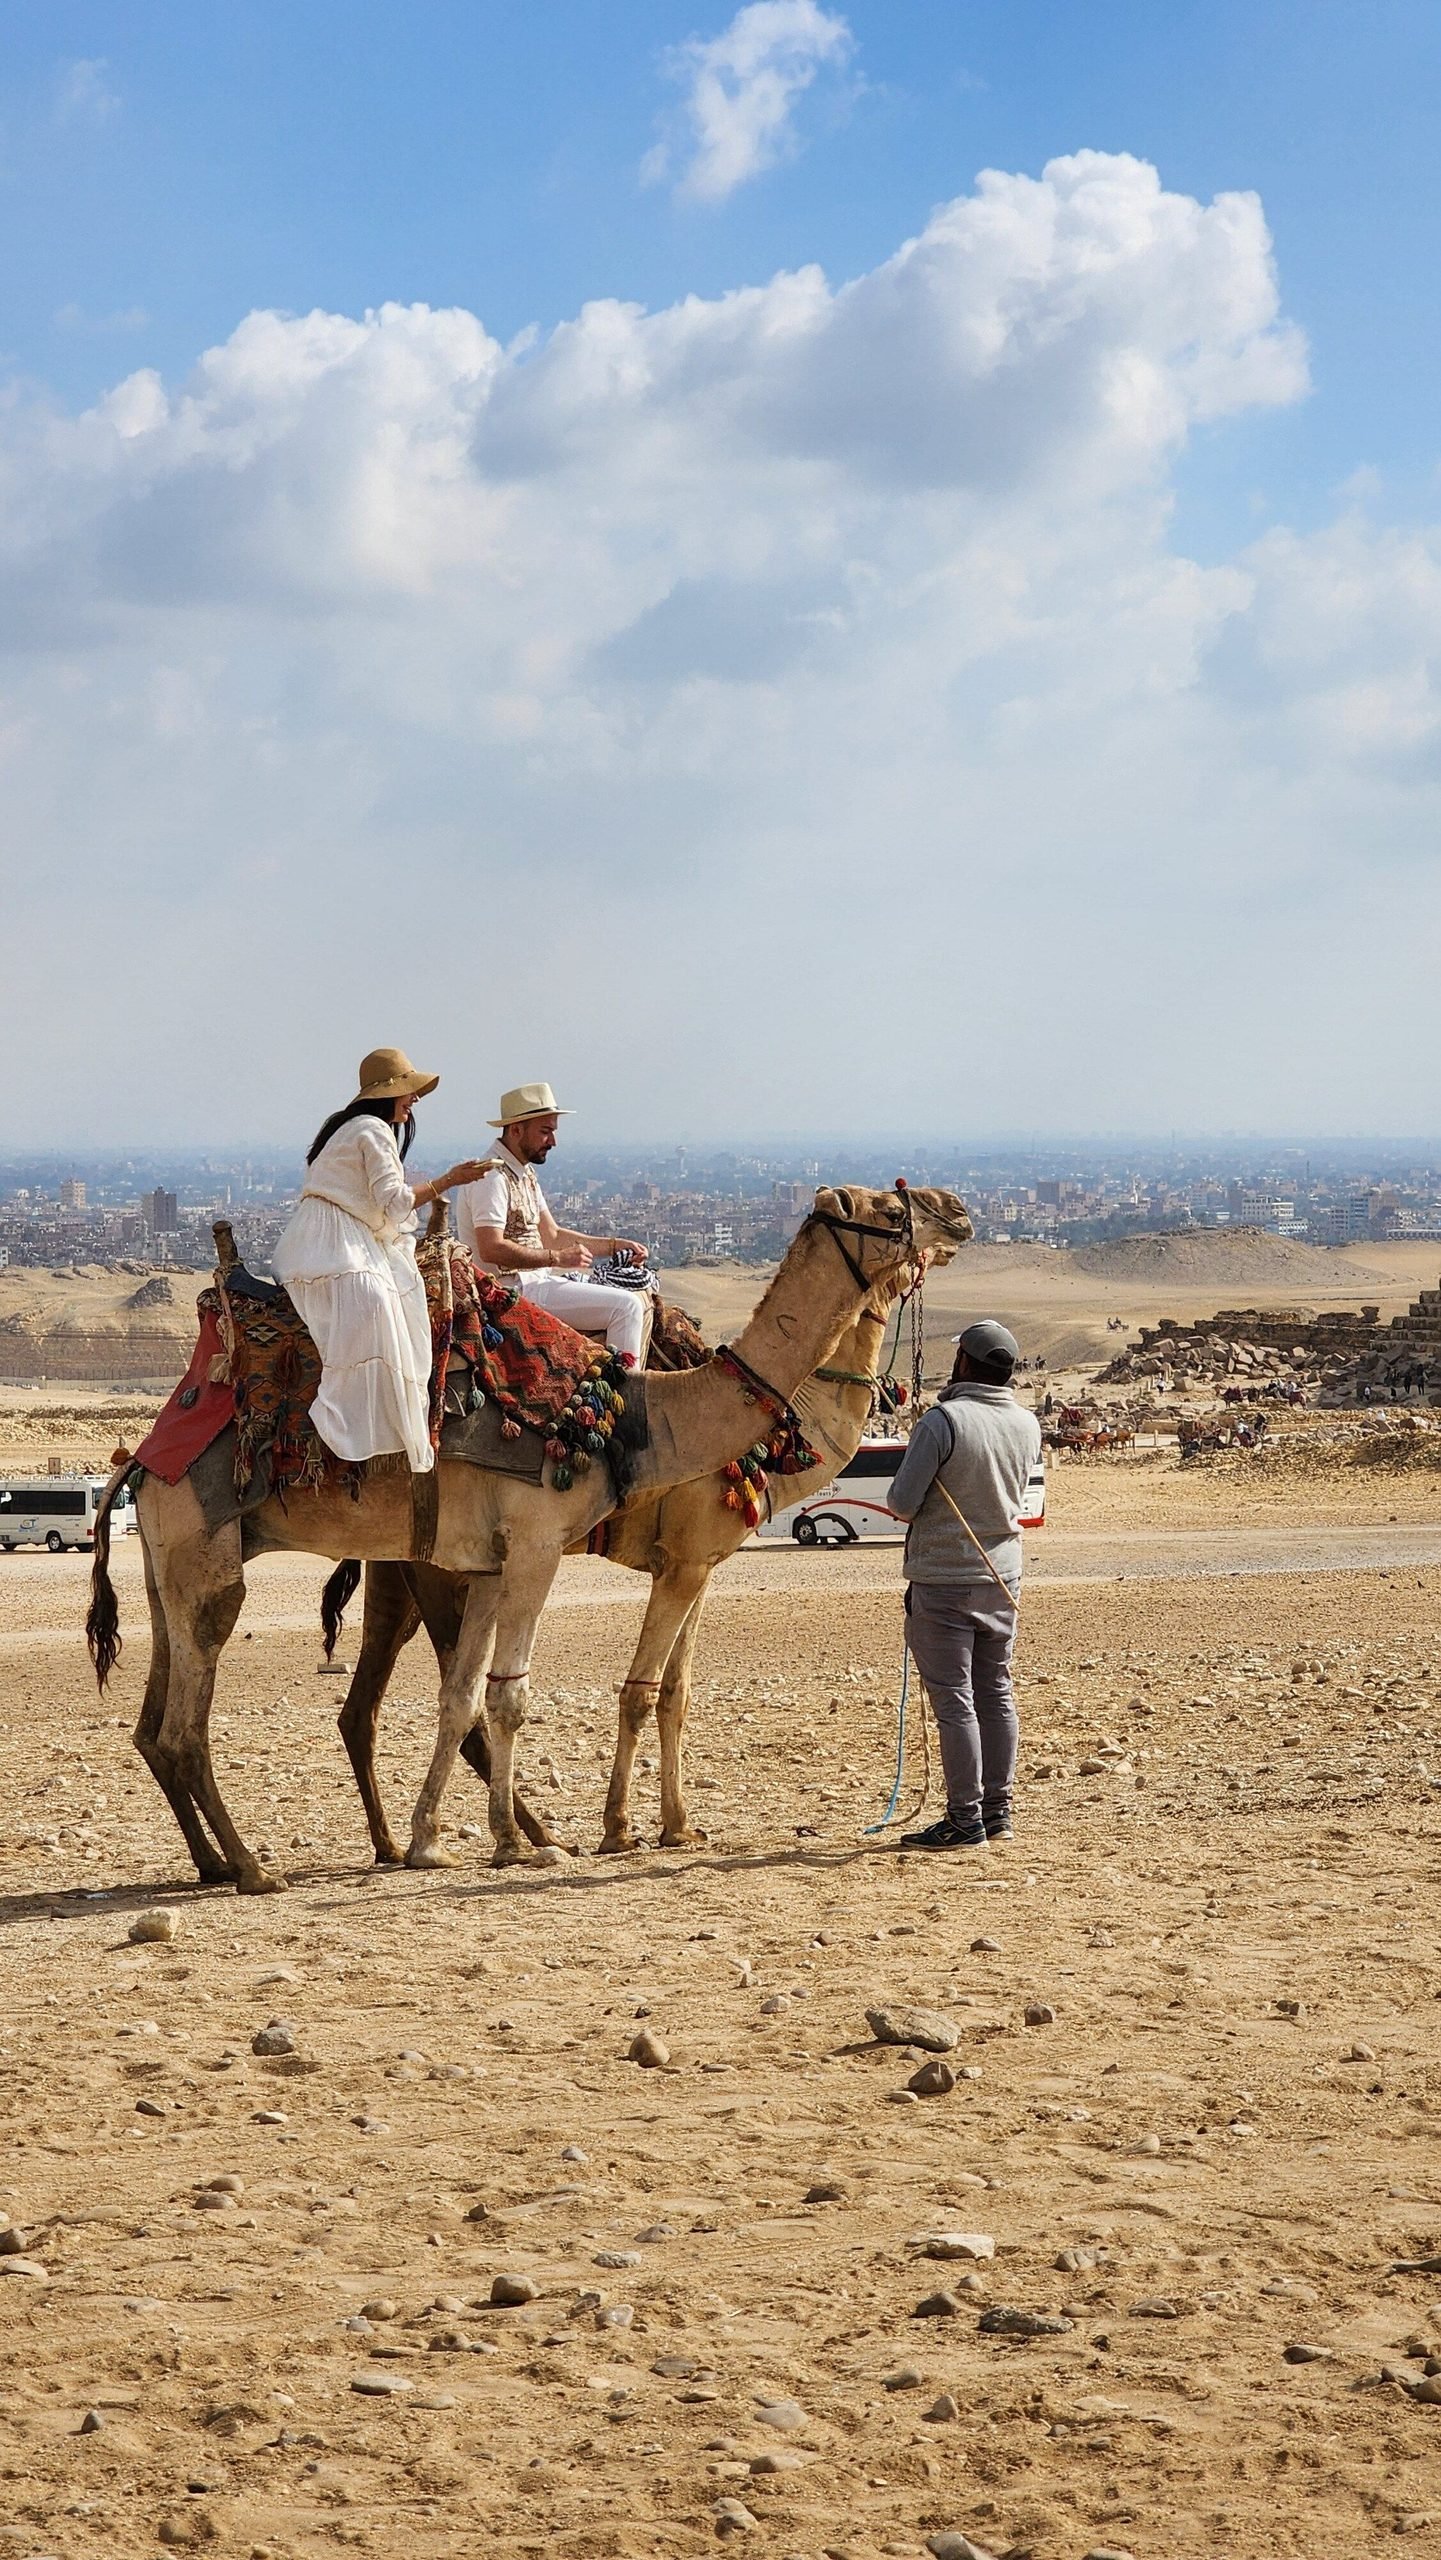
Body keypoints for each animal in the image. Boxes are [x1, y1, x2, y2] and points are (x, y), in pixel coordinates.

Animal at [319, 1284, 917, 1865]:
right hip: (447, 1578)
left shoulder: (698, 1564)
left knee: (364, 1707)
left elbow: (677, 1690)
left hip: (399, 1572)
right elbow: (644, 1692)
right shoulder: (686, 1557)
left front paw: (677, 1826)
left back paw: (396, 1843)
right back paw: (528, 1838)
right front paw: (622, 1829)